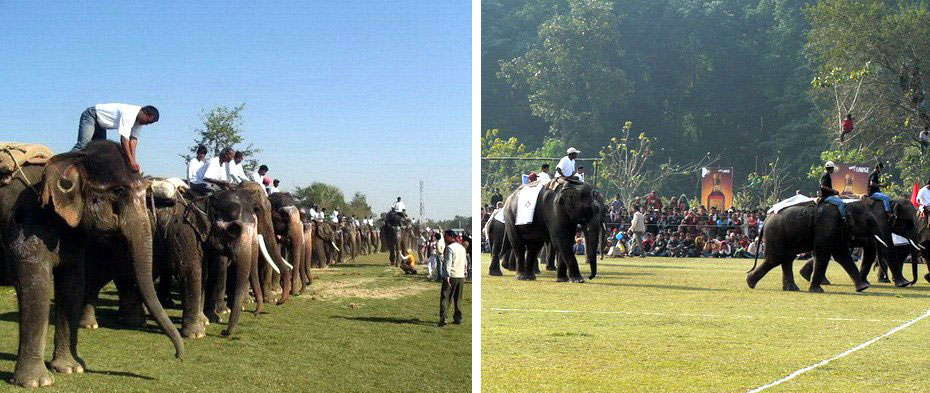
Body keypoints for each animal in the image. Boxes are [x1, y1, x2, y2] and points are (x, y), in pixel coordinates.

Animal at [744, 199, 880, 290]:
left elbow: (841, 255)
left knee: (786, 258)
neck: (845, 205)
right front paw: (817, 290)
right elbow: (823, 253)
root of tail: (766, 219)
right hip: (776, 234)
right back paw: (750, 282)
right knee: (776, 258)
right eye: (869, 221)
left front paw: (862, 288)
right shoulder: (827, 225)